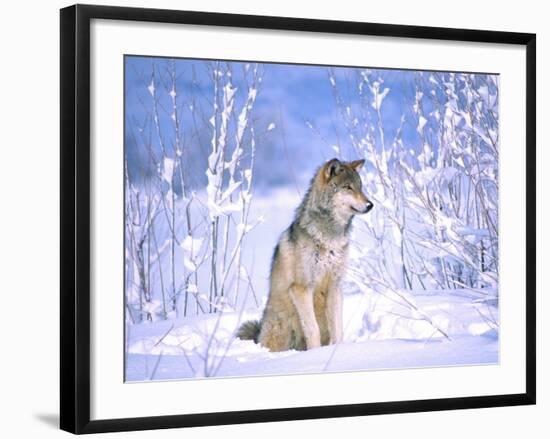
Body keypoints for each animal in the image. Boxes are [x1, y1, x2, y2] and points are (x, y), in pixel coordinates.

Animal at [238, 156, 376, 352]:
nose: (370, 205)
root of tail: (259, 334)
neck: (329, 237)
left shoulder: (335, 286)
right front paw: (316, 353)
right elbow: (312, 329)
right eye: (347, 187)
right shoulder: (301, 288)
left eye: (360, 187)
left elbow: (338, 329)